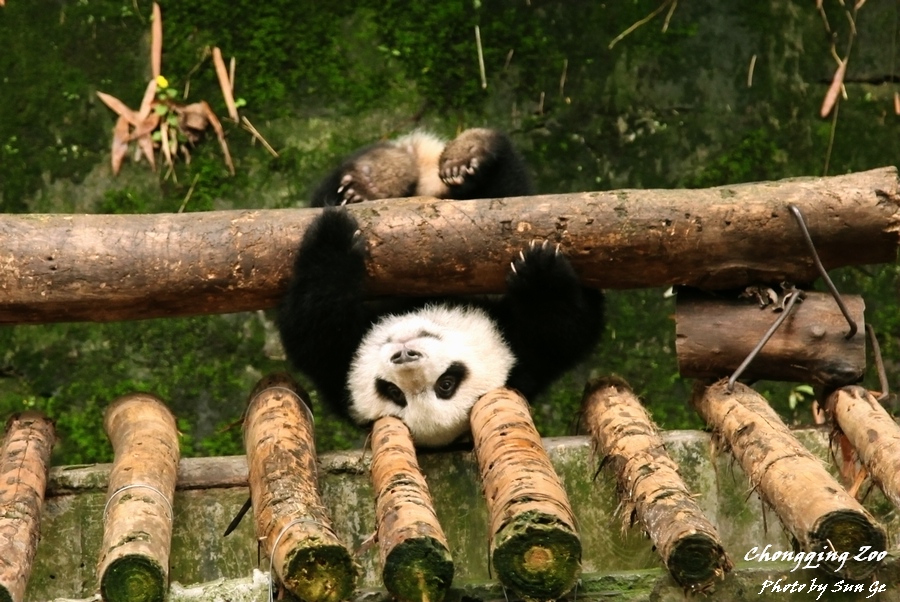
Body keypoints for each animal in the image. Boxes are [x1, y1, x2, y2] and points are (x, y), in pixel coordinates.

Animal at [277, 208, 605, 447]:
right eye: (393, 392)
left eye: (446, 384)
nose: (404, 355)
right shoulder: (335, 367)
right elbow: (313, 326)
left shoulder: (527, 356)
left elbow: (561, 332)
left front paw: (540, 273)